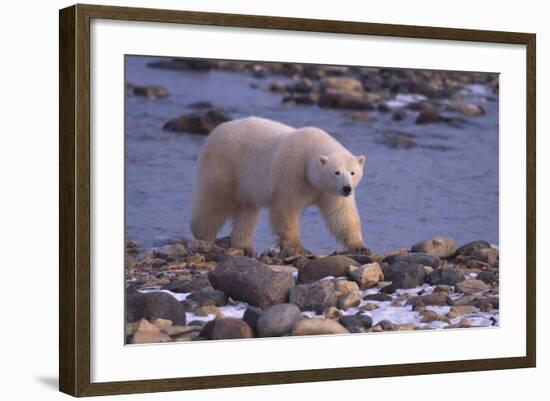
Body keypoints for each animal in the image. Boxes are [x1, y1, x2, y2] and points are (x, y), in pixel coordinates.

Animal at [191, 115, 370, 255]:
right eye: (336, 172)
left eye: (353, 172)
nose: (347, 188)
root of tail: (215, 132)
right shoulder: (291, 173)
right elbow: (286, 209)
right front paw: (298, 248)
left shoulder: (329, 191)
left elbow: (342, 214)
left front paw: (360, 246)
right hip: (226, 165)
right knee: (216, 201)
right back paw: (204, 236)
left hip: (247, 181)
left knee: (247, 210)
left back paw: (244, 246)